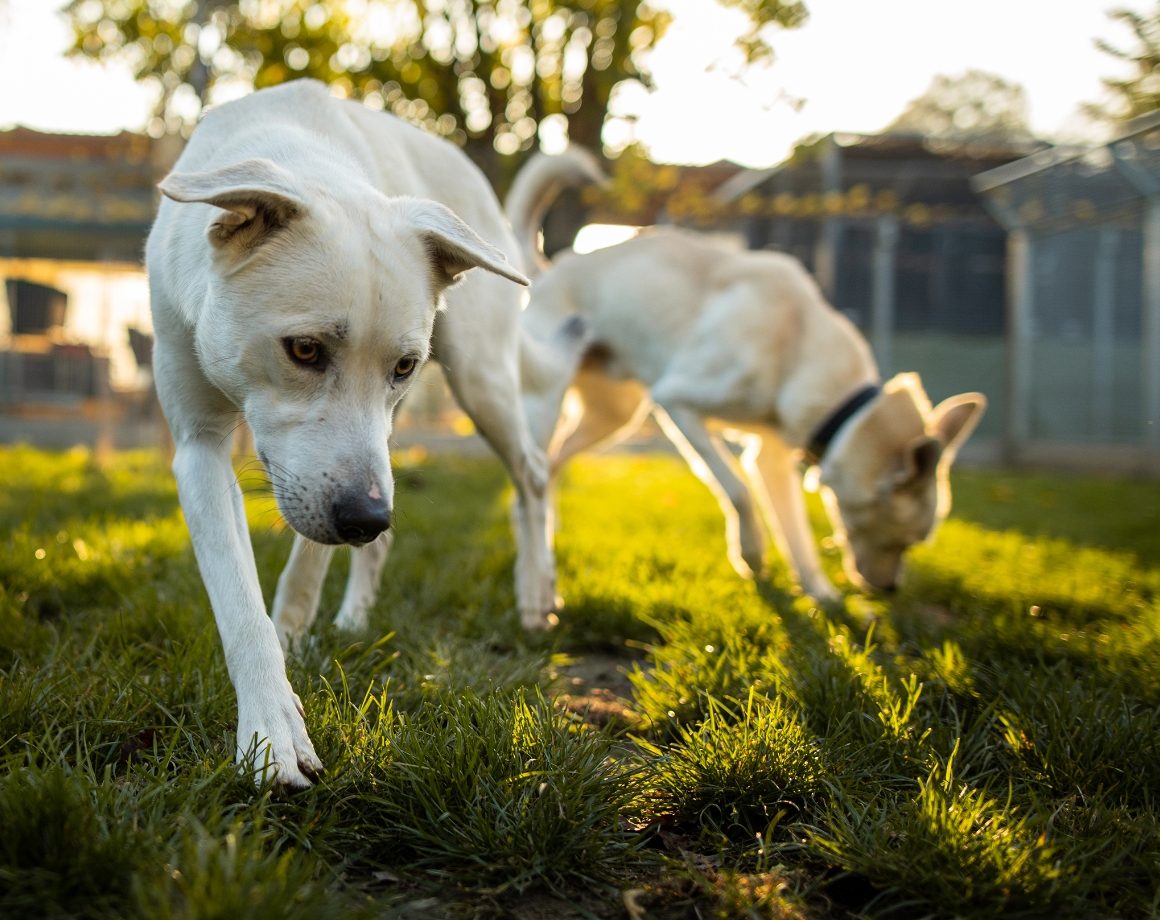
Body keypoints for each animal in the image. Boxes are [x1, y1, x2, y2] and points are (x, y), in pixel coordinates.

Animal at [146, 80, 556, 784]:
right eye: (305, 349)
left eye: (403, 365)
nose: (366, 517)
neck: (301, 152)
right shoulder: (200, 448)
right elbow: (239, 599)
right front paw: (272, 722)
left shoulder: (339, 479)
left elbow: (305, 568)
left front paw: (289, 651)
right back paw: (356, 617)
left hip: (478, 383)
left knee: (532, 473)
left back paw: (535, 592)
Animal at [512, 147, 983, 598]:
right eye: (910, 539)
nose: (889, 591)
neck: (795, 341)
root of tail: (549, 269)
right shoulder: (676, 401)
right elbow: (737, 489)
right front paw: (752, 554)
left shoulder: (771, 457)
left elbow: (797, 534)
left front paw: (821, 595)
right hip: (547, 404)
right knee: (532, 468)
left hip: (615, 416)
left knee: (552, 463)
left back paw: (547, 534)